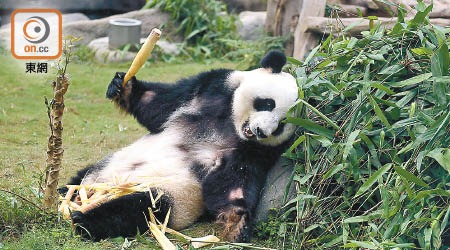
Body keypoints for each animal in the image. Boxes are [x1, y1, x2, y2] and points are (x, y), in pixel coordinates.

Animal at [62, 50, 296, 242]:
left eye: (280, 126)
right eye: (268, 103)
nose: (261, 131)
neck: (232, 126)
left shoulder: (253, 150)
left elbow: (234, 178)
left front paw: (238, 219)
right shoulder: (213, 88)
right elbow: (161, 103)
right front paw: (124, 86)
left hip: (172, 194)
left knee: (141, 208)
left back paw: (85, 220)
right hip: (108, 165)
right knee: (80, 178)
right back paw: (67, 195)